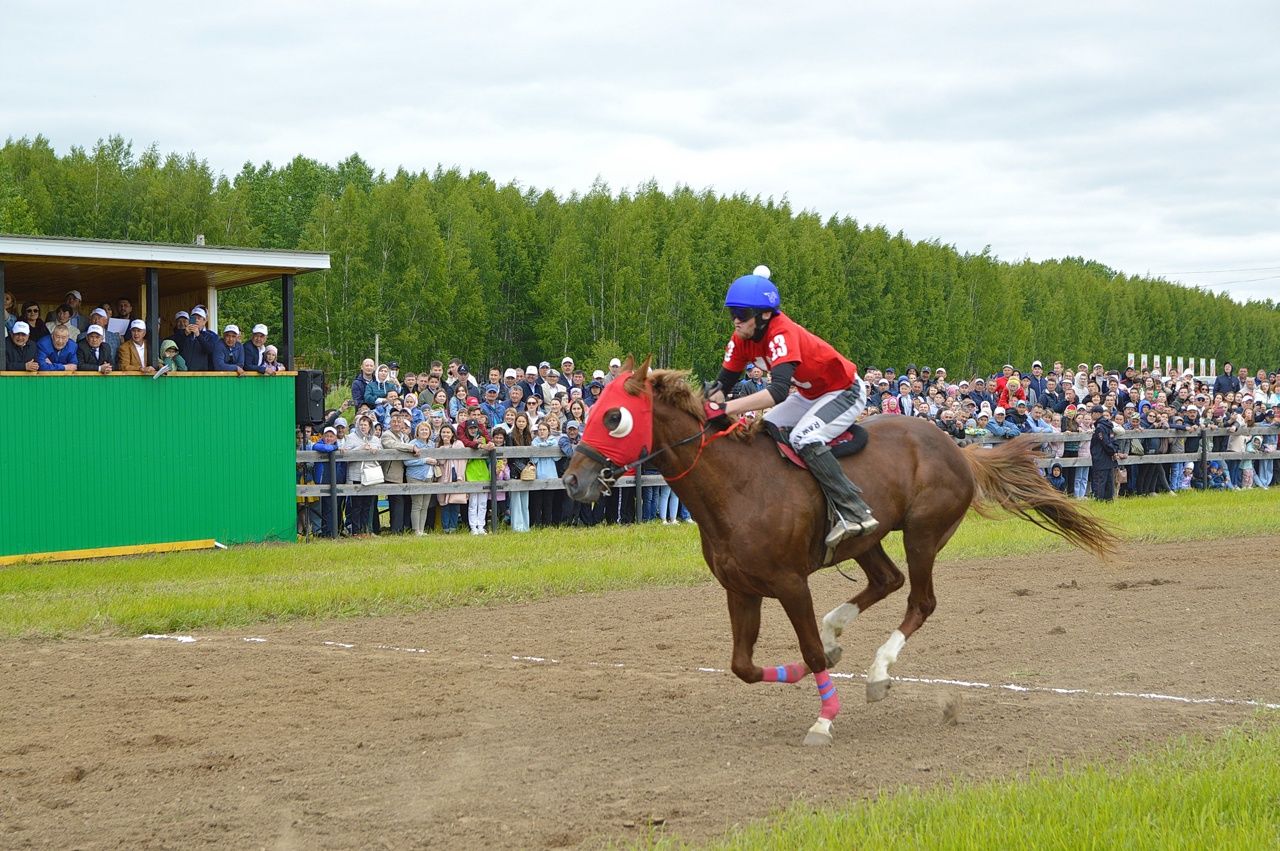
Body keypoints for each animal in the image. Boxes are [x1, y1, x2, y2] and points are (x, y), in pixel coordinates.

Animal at [565, 358, 1116, 742]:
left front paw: (824, 717)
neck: (737, 485)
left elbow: (806, 649)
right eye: (591, 412)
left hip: (923, 534)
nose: (573, 480)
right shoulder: (740, 588)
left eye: (613, 417)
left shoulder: (790, 583)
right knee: (886, 581)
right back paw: (841, 634)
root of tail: (958, 448)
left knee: (919, 600)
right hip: (865, 540)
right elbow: (744, 666)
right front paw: (812, 664)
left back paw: (877, 671)